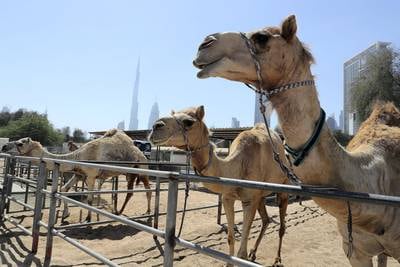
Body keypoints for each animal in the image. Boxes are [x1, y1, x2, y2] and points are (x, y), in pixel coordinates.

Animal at [1, 130, 152, 222]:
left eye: (20, 143)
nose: (4, 147)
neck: (77, 156)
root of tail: (143, 154)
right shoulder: (79, 175)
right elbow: (64, 190)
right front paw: (65, 215)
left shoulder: (90, 176)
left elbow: (89, 199)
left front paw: (88, 218)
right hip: (130, 173)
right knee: (130, 192)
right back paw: (119, 212)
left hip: (142, 169)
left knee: (148, 189)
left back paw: (147, 212)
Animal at [148, 105, 290, 264]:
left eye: (188, 122)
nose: (156, 126)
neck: (238, 166)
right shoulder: (228, 198)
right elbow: (230, 238)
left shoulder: (249, 200)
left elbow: (241, 252)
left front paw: (244, 256)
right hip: (261, 196)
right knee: (266, 220)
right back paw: (254, 253)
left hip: (283, 188)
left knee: (282, 226)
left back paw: (277, 259)